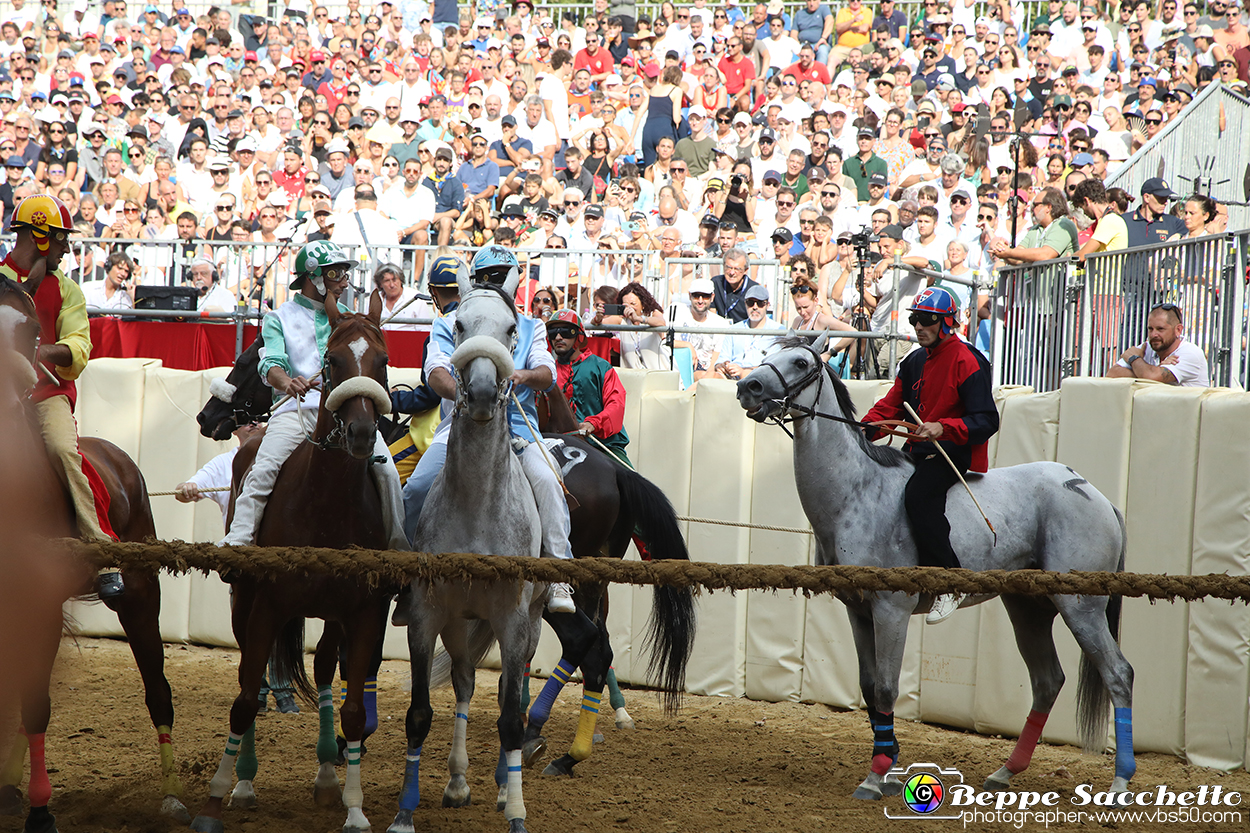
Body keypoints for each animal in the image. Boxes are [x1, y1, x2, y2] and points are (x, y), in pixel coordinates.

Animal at [0, 277, 190, 825]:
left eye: (30, 330)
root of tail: (123, 462)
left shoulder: (40, 605)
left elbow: (36, 704)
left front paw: (42, 815)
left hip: (141, 596)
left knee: (158, 690)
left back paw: (173, 793)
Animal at [188, 290, 400, 830]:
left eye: (383, 361)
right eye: (333, 360)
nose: (361, 431)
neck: (325, 505)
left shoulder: (363, 613)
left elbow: (352, 711)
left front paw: (354, 808)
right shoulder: (266, 606)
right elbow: (244, 700)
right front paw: (217, 796)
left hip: (330, 615)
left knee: (322, 671)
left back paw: (326, 776)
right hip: (244, 602)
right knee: (251, 676)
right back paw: (244, 783)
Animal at [387, 267, 545, 830]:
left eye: (512, 329)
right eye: (458, 323)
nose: (478, 391)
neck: (478, 507)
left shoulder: (513, 620)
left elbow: (510, 719)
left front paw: (517, 812)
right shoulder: (427, 615)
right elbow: (418, 713)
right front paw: (404, 813)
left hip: (528, 624)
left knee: (506, 696)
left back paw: (501, 787)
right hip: (461, 624)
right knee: (464, 682)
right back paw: (458, 782)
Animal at [735, 330, 1140, 800]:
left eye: (800, 362)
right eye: (768, 354)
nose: (748, 387)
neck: (857, 491)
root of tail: (1095, 494)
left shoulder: (890, 610)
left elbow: (887, 688)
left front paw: (875, 777)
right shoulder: (859, 612)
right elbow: (869, 688)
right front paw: (890, 769)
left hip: (1081, 607)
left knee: (1118, 674)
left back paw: (1120, 780)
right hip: (1028, 608)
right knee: (1047, 681)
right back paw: (1006, 771)